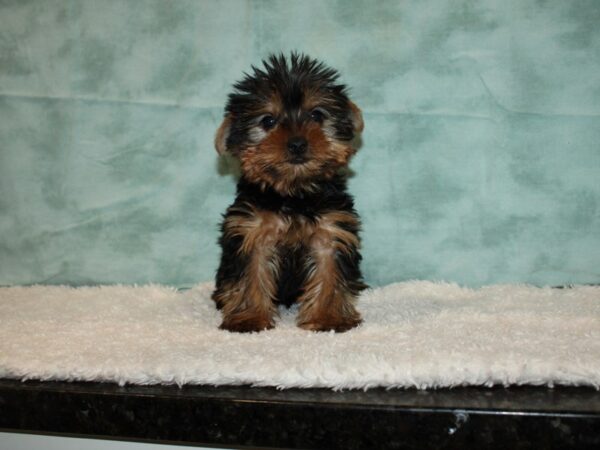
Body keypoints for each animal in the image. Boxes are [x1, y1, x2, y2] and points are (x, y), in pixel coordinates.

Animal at [213, 53, 368, 334]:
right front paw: (249, 318)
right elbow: (251, 274)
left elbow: (330, 273)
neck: (293, 193)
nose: (297, 143)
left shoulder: (331, 230)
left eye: (316, 115)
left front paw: (329, 318)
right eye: (268, 121)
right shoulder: (251, 231)